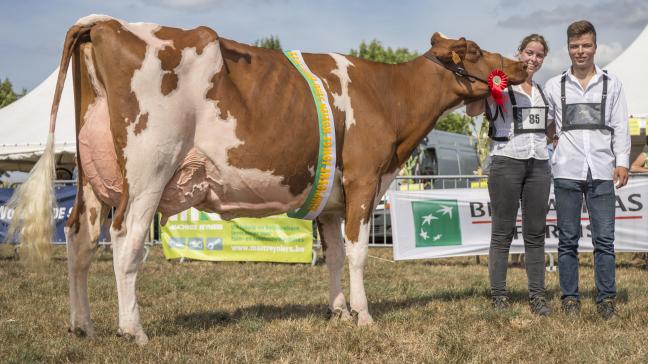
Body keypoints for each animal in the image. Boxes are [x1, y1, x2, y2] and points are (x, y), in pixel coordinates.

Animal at [8, 14, 528, 344]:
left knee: (79, 238)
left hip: (93, 177)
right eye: (474, 51)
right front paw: (363, 316)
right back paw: (132, 330)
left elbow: (334, 255)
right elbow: (358, 254)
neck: (388, 96)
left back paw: (82, 326)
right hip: (148, 169)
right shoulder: (364, 180)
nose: (520, 64)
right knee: (125, 240)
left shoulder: (333, 199)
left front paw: (338, 311)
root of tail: (107, 23)